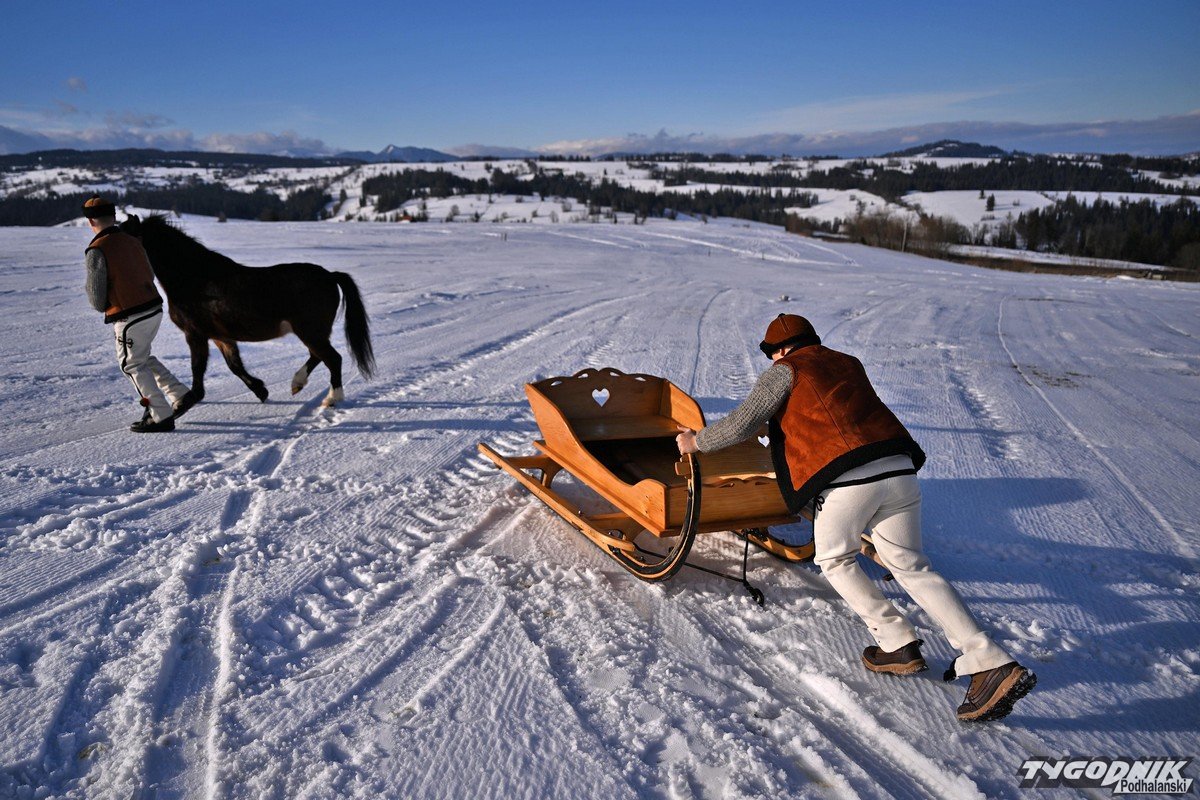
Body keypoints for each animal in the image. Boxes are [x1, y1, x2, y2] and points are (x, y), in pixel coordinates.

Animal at [119, 214, 375, 412]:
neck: (193, 278)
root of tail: (331, 275)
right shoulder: (221, 336)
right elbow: (235, 366)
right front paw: (261, 390)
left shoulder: (195, 334)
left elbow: (198, 370)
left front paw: (183, 404)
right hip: (314, 332)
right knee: (318, 356)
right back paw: (297, 383)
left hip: (310, 331)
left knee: (333, 358)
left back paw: (332, 399)